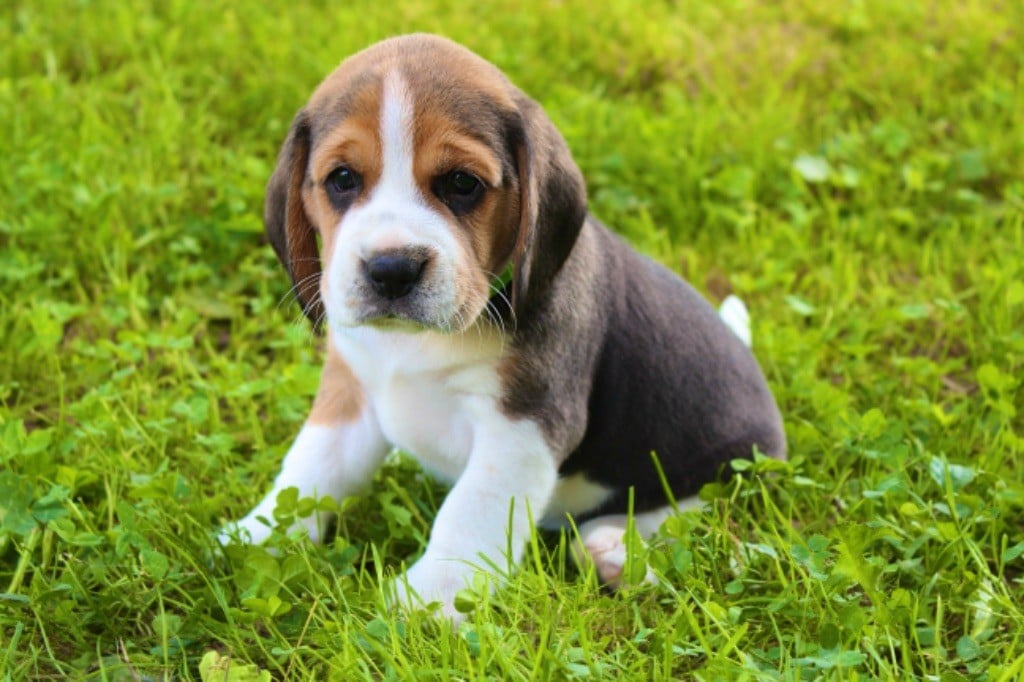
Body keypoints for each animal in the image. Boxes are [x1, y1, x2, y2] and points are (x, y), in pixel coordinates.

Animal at [221, 34, 785, 621]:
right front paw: (256, 536)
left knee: (685, 520)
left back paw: (614, 552)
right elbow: (311, 466)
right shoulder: (350, 390)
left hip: (724, 473)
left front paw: (431, 599)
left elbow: (472, 509)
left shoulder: (524, 423)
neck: (419, 342)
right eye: (342, 179)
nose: (392, 269)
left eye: (462, 183)